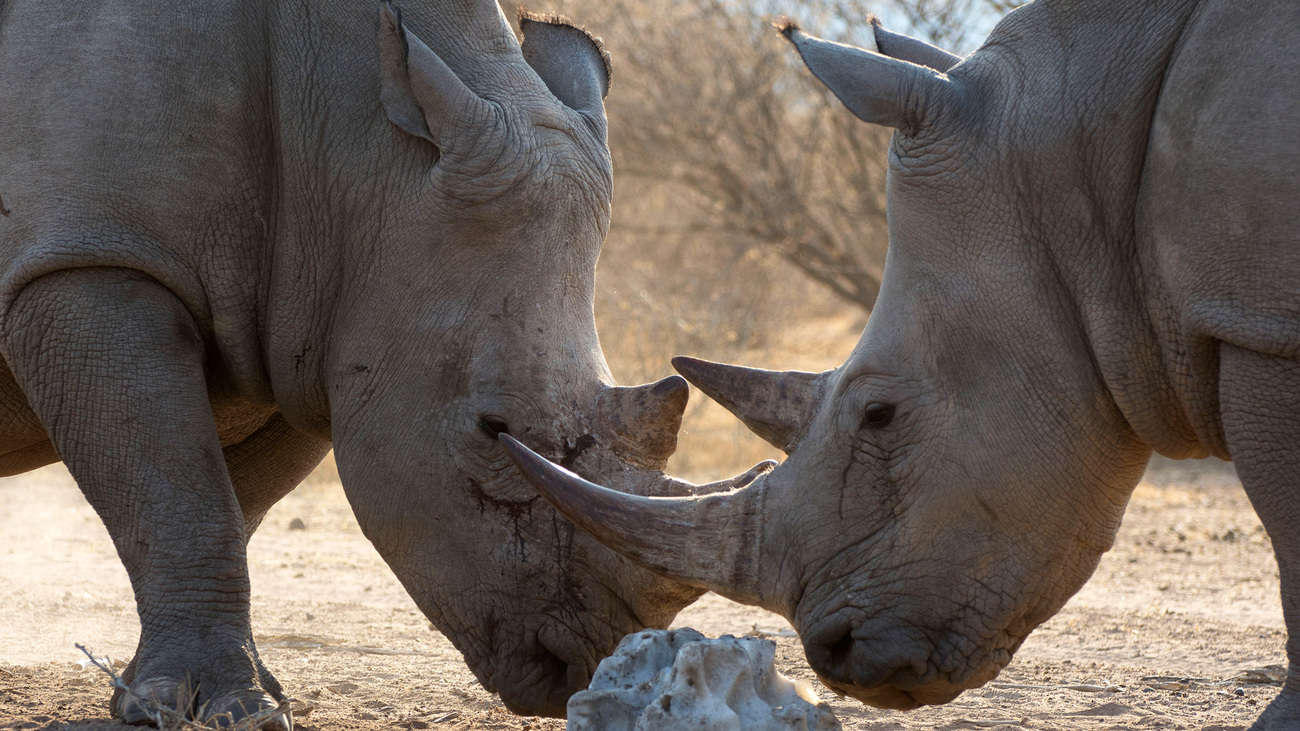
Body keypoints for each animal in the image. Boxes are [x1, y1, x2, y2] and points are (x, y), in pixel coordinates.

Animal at [0, 0, 759, 723]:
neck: (362, 153)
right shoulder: (91, 260)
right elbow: (180, 499)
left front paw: (183, 693)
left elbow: (225, 506)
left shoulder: (308, 323)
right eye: (491, 431)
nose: (586, 657)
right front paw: (224, 708)